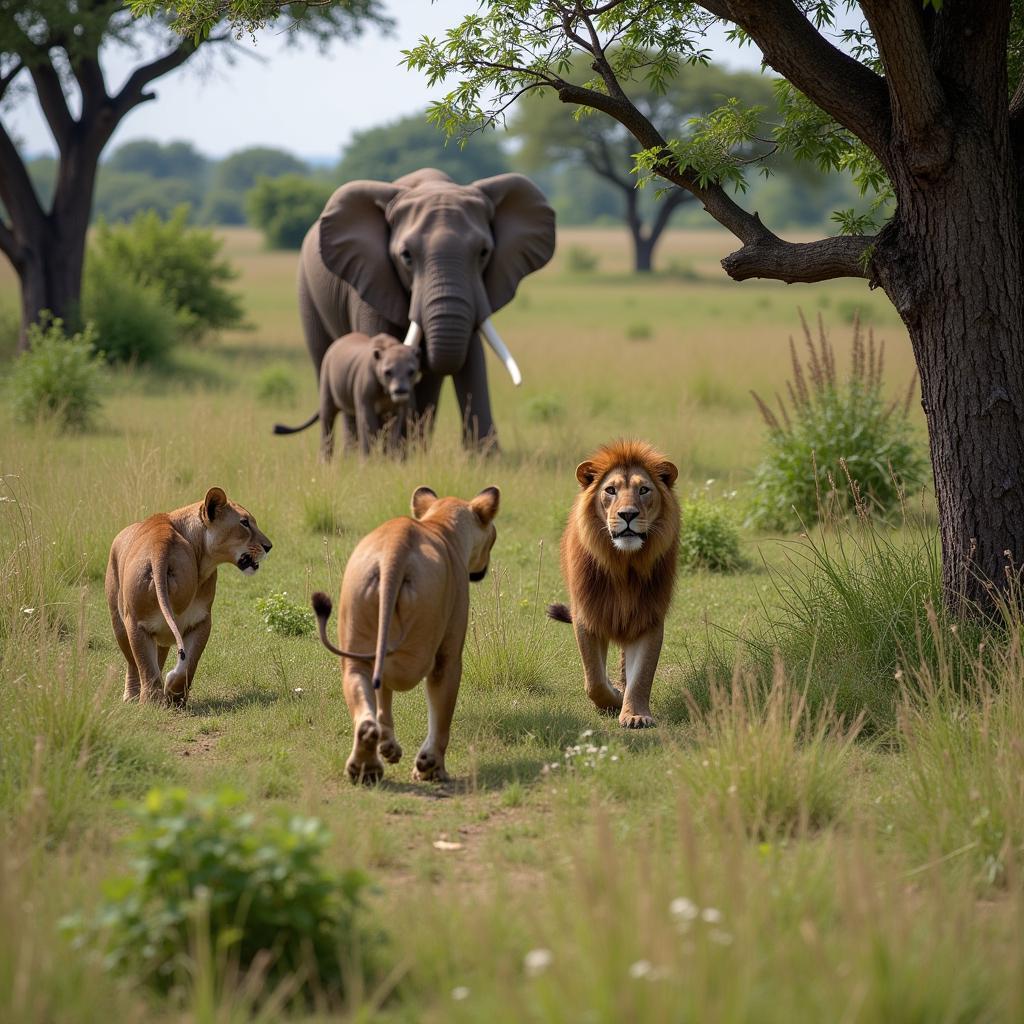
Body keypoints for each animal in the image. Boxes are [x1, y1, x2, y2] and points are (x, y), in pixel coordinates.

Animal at [105, 487, 272, 704]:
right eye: (244, 522)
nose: (269, 546)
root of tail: (160, 542)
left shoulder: (199, 621)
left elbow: (187, 665)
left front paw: (172, 696)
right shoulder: (196, 622)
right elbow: (148, 665)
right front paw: (157, 702)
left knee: (153, 661)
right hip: (123, 623)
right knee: (136, 664)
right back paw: (135, 697)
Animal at [274, 331, 417, 460]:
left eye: (411, 372)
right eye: (388, 372)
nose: (400, 390)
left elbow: (396, 422)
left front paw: (393, 462)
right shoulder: (364, 385)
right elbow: (367, 421)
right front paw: (368, 464)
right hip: (326, 377)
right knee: (328, 418)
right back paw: (325, 463)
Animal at [299, 167, 552, 448]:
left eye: (484, 252)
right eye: (406, 256)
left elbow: (472, 359)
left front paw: (484, 457)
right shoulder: (368, 277)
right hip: (308, 294)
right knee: (323, 358)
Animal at [313, 483, 501, 778]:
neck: (441, 525)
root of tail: (395, 547)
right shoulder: (449, 656)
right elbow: (442, 718)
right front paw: (432, 766)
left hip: (358, 643)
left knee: (367, 697)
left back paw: (367, 762)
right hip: (419, 652)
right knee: (395, 675)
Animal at [548, 440, 675, 729]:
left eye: (643, 489)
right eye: (610, 490)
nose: (627, 514)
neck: (624, 565)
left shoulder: (649, 618)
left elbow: (642, 675)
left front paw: (635, 714)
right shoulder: (588, 615)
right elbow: (594, 679)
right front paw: (614, 698)